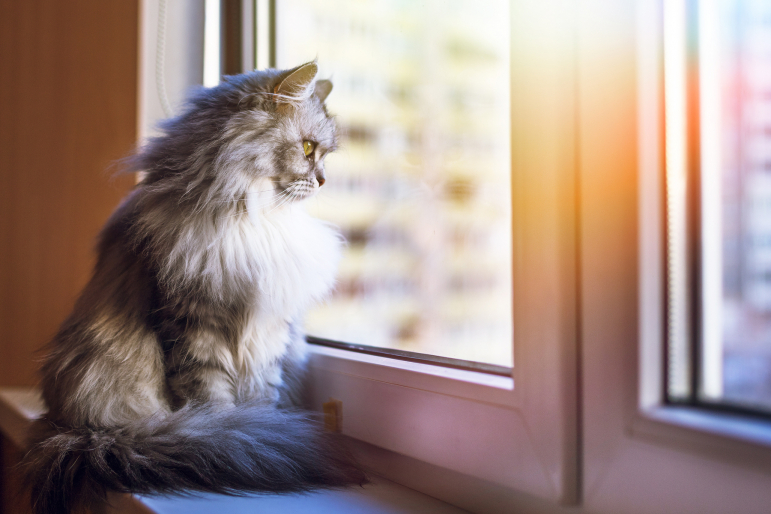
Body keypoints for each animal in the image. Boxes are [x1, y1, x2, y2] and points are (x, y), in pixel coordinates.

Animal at [19, 61, 366, 512]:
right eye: (308, 149)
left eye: (323, 154)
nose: (323, 180)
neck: (250, 218)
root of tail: (75, 433)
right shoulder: (194, 327)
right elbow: (212, 402)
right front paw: (237, 433)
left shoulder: (269, 331)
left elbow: (261, 395)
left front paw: (259, 427)